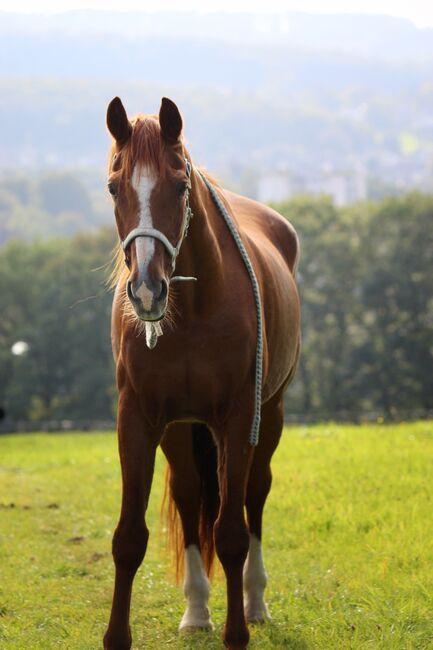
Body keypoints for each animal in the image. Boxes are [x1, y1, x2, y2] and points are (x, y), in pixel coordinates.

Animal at [104, 96, 300, 648]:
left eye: (179, 185)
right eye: (114, 186)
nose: (147, 290)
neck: (191, 309)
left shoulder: (237, 419)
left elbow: (231, 533)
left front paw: (237, 632)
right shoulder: (139, 419)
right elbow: (129, 537)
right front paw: (117, 637)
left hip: (269, 415)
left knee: (254, 494)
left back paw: (254, 602)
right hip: (181, 428)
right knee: (192, 498)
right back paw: (195, 611)